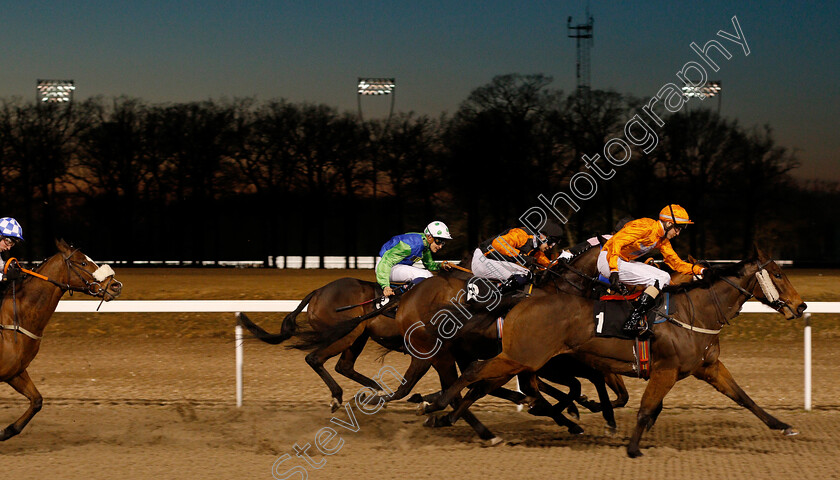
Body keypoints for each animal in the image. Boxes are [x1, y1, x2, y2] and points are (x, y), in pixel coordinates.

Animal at [0, 238, 122, 440]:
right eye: (83, 263)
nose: (116, 286)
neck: (14, 320)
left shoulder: (15, 371)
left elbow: (37, 401)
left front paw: (6, 431)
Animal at [420, 248, 808, 458]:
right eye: (777, 274)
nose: (801, 306)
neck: (696, 312)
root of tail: (523, 299)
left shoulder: (709, 367)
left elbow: (744, 398)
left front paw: (784, 426)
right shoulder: (665, 371)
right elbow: (645, 408)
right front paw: (633, 447)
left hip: (524, 358)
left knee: (486, 382)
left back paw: (448, 415)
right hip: (523, 357)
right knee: (476, 375)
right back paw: (436, 406)